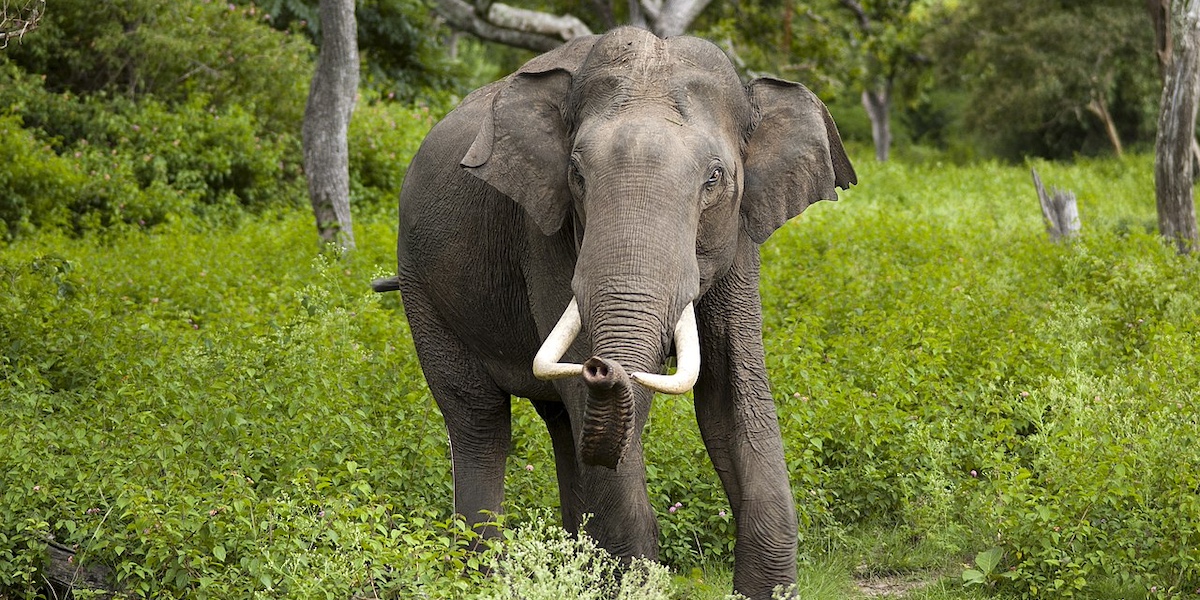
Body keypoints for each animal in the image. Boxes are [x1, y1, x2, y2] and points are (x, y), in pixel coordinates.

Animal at [374, 24, 854, 600]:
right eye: (577, 174)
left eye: (715, 178)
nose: (603, 367)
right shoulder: (546, 233)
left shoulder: (741, 235)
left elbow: (733, 398)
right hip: (421, 289)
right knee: (480, 420)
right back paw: (483, 578)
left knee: (562, 426)